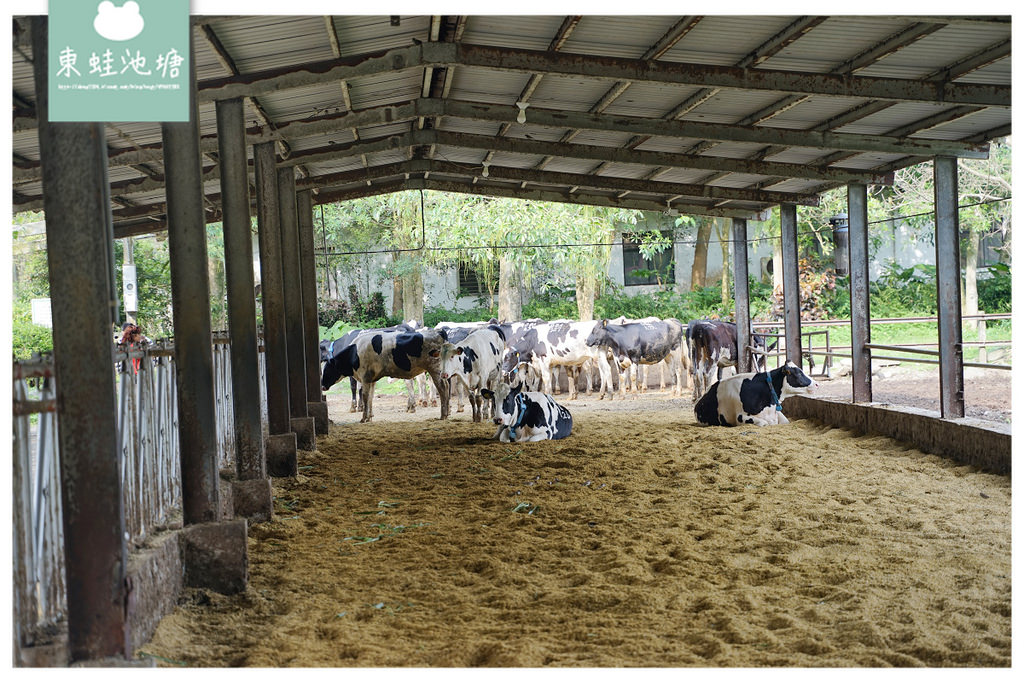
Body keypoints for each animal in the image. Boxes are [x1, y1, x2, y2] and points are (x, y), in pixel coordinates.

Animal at [319, 327, 448, 421]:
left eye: (327, 369)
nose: (322, 385)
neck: (356, 352)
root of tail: (438, 332)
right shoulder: (372, 379)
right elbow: (370, 397)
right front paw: (369, 416)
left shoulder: (365, 378)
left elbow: (364, 396)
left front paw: (363, 417)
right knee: (445, 386)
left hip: (435, 369)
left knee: (441, 388)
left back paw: (443, 414)